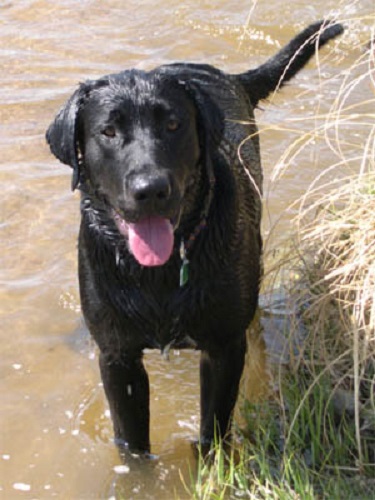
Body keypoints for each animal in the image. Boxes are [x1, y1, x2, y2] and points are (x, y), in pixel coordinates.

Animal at [46, 21, 344, 456]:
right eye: (108, 131)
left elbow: (213, 430)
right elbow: (133, 445)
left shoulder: (223, 347)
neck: (159, 273)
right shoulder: (118, 358)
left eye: (174, 125)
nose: (150, 188)